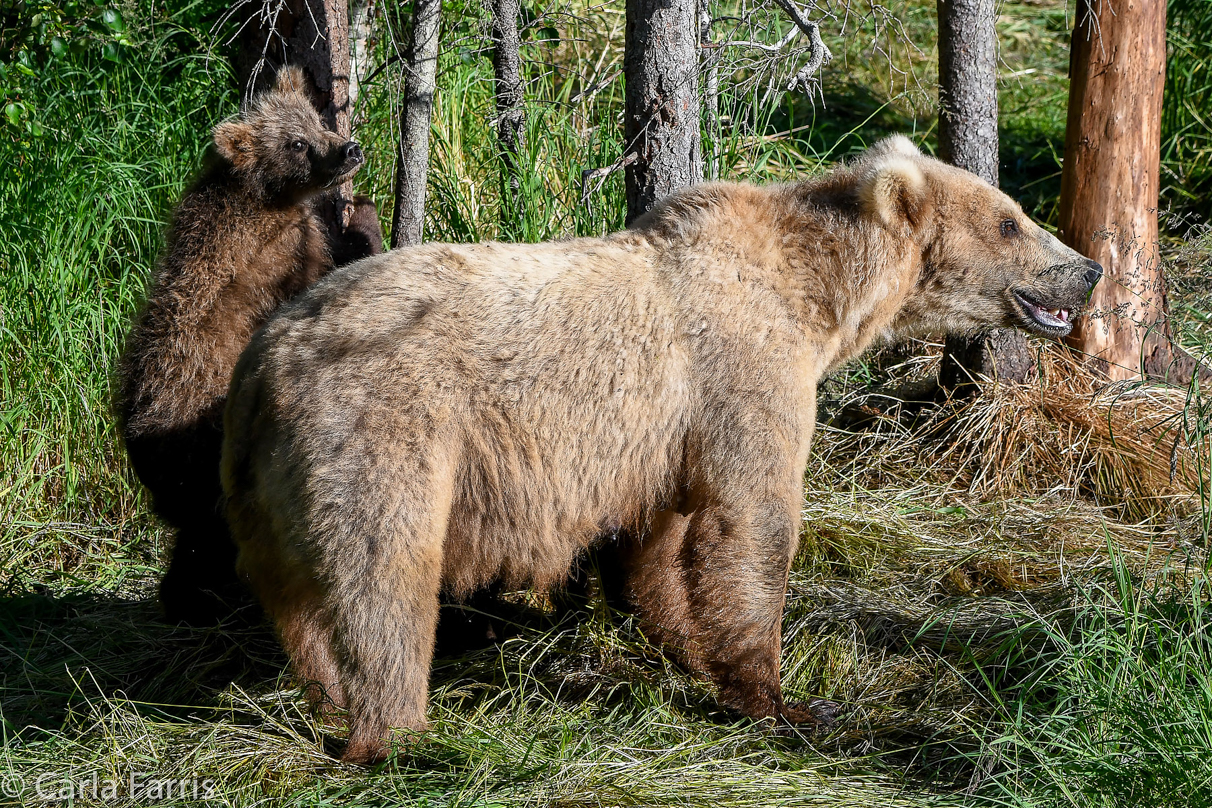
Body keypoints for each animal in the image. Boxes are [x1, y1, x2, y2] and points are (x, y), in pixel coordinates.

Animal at [218, 137, 1100, 765]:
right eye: (1011, 218)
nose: (1088, 269)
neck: (820, 294)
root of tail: (269, 357)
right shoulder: (741, 371)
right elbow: (751, 522)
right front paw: (785, 698)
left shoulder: (665, 435)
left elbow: (662, 544)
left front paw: (689, 650)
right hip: (383, 430)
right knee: (385, 574)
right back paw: (399, 731)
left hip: (259, 477)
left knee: (292, 592)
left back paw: (328, 698)